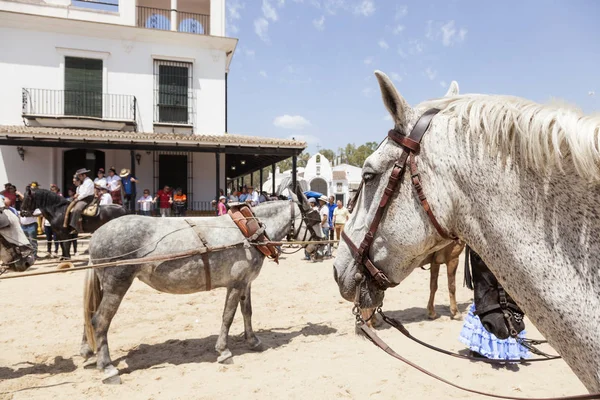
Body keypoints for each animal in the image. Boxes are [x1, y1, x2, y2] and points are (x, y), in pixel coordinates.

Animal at [81, 194, 324, 382]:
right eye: (314, 219)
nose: (321, 249)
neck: (247, 233)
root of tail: (96, 236)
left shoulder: (246, 282)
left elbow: (247, 312)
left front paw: (253, 340)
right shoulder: (235, 283)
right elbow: (228, 316)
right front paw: (224, 351)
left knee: (90, 315)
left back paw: (90, 353)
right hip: (117, 284)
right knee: (99, 321)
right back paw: (108, 368)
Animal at [332, 70, 600, 392]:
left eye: (369, 175)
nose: (337, 268)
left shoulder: (447, 260)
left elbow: (442, 286)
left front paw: (444, 311)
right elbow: (439, 286)